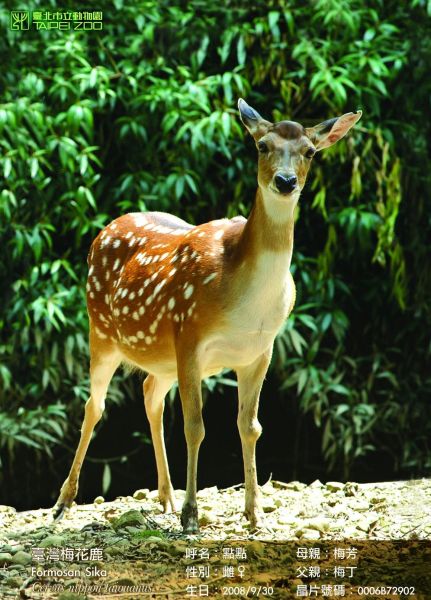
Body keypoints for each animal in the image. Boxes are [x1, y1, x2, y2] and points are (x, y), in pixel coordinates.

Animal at [54, 99, 362, 536]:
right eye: (262, 146)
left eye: (310, 152)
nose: (285, 181)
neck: (244, 299)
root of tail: (105, 228)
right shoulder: (190, 336)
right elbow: (195, 426)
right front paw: (191, 515)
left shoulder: (260, 351)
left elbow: (250, 426)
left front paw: (255, 513)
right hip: (101, 330)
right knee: (94, 406)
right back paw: (64, 503)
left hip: (161, 357)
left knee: (149, 393)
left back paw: (164, 497)